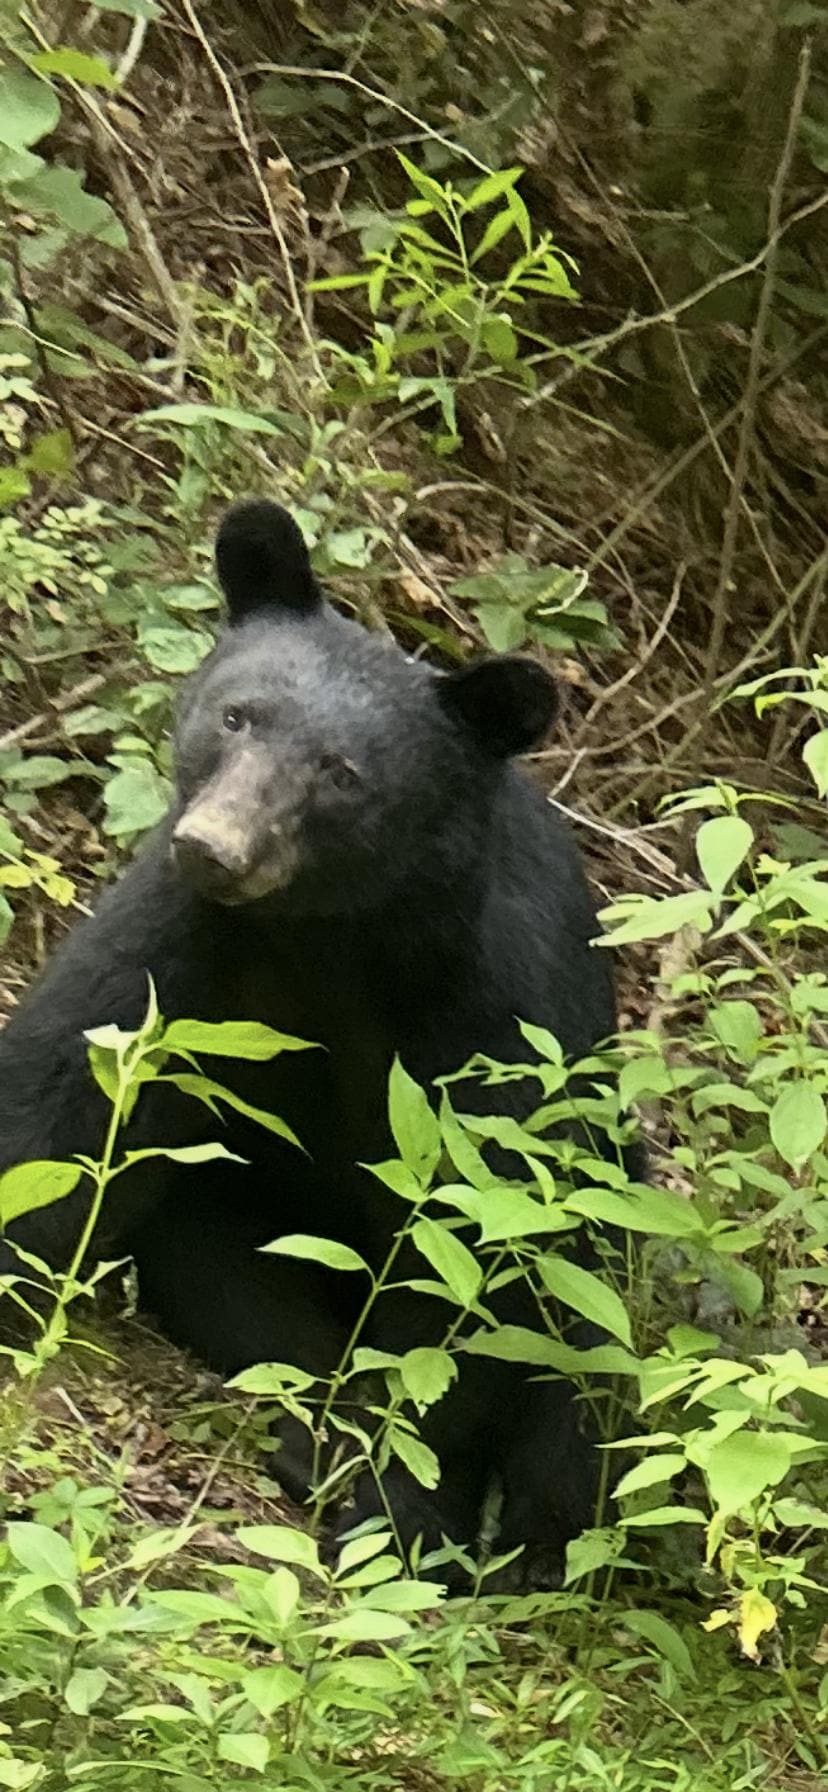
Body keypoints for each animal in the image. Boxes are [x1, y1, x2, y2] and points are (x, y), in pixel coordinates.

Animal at [0, 498, 621, 1583]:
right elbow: (65, 1096)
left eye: (342, 773)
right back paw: (307, 1436)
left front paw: (403, 1514)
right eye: (236, 716)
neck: (339, 934)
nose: (216, 847)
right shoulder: (184, 937)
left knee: (578, 1379)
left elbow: (477, 1247)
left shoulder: (498, 1012)